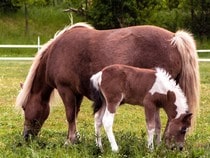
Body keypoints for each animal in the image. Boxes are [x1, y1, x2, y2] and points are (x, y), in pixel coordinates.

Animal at [15, 22, 199, 144]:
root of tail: (174, 38)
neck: (57, 51)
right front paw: (76, 139)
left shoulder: (65, 90)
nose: (25, 136)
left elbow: (69, 115)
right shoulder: (77, 93)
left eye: (24, 107)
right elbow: (74, 115)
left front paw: (69, 141)